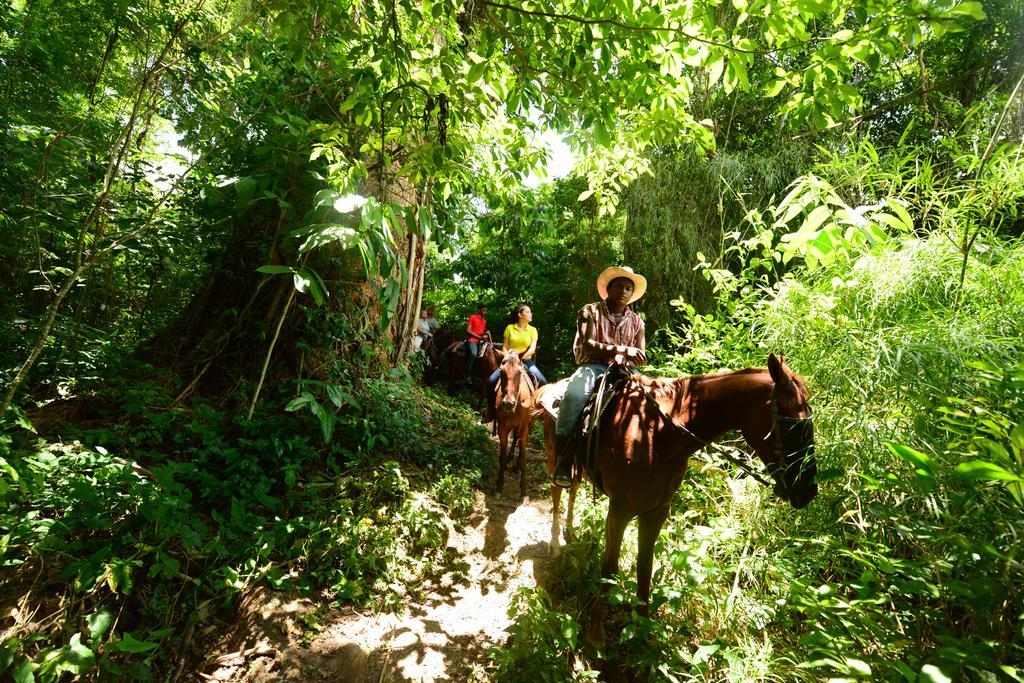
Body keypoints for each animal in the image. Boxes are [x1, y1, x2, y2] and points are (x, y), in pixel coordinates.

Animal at [493, 352, 536, 497]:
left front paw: (524, 491)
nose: (508, 403)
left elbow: (523, 455)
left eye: (519, 372)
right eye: (501, 371)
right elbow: (503, 453)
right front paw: (499, 486)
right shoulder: (502, 427)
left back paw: (516, 466)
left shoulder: (524, 427)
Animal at [536, 356, 815, 651]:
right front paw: (596, 632)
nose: (808, 492)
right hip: (556, 458)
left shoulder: (656, 511)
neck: (658, 436)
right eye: (793, 425)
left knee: (574, 490)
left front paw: (644, 630)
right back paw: (555, 543)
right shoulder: (619, 509)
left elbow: (645, 567)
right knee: (557, 492)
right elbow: (609, 567)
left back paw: (570, 532)